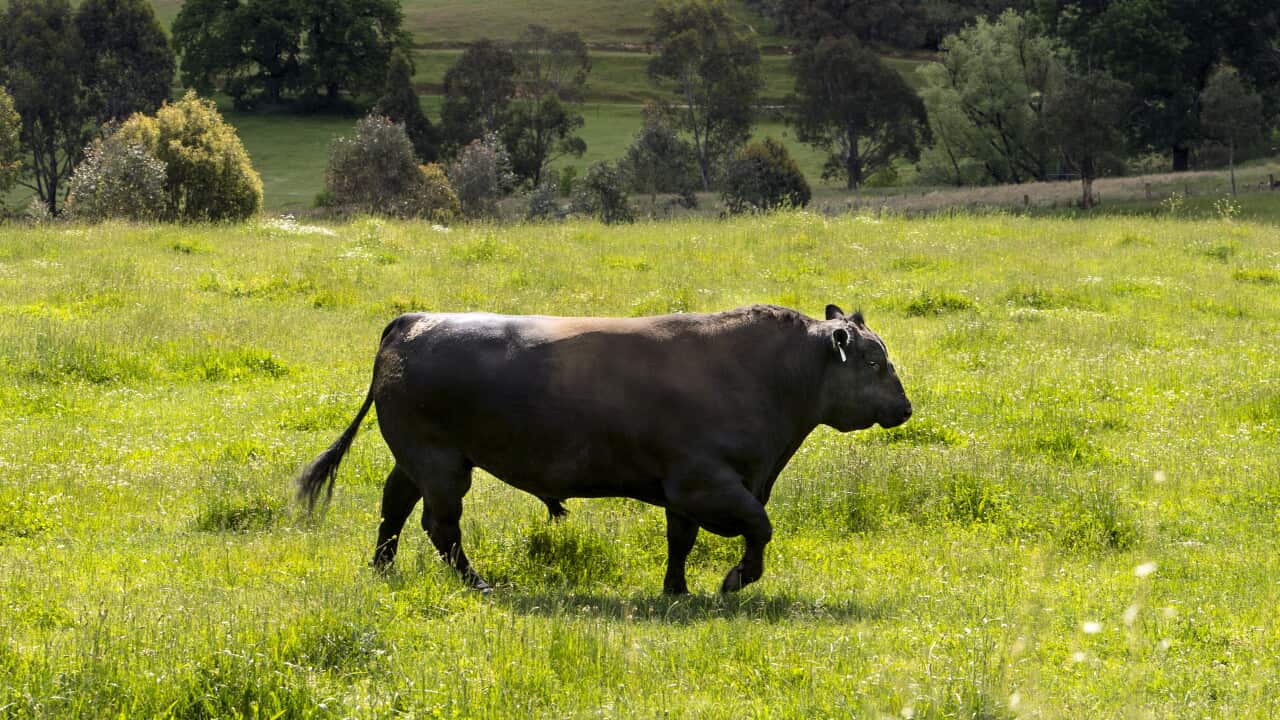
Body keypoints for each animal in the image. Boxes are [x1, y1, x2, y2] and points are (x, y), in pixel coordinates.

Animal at [294, 304, 912, 594]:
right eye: (874, 361)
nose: (905, 407)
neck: (765, 373)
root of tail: (414, 319)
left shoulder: (683, 492)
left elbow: (681, 542)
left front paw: (676, 591)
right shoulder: (706, 483)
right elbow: (759, 529)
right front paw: (734, 580)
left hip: (417, 461)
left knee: (394, 507)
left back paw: (382, 568)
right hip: (442, 464)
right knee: (440, 527)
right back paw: (479, 582)